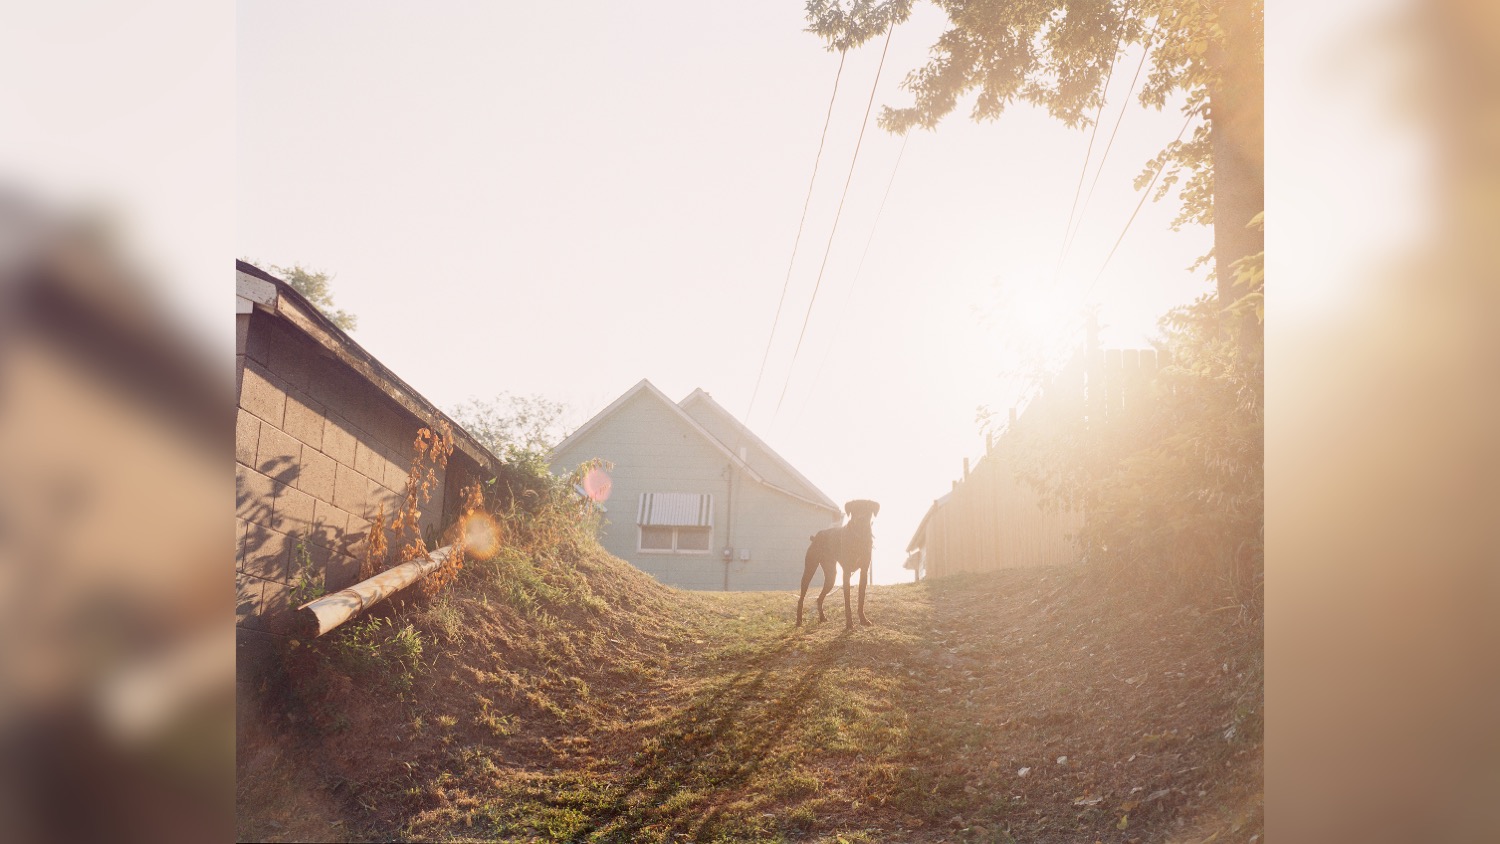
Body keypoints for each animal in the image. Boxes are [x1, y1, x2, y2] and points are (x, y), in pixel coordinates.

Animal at [798, 497, 876, 629]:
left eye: (867, 510)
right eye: (854, 510)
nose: (861, 519)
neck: (858, 537)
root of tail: (815, 537)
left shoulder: (864, 572)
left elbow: (861, 598)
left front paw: (863, 620)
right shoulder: (846, 573)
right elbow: (847, 601)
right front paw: (849, 623)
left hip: (831, 577)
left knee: (819, 598)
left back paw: (822, 617)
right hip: (809, 570)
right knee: (801, 598)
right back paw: (799, 620)